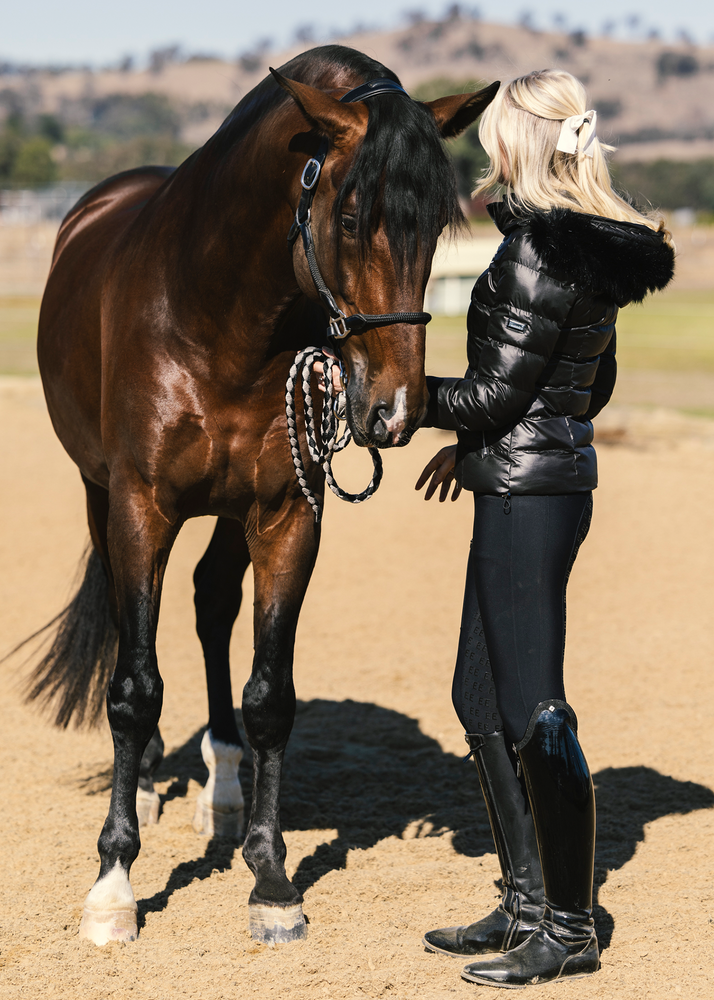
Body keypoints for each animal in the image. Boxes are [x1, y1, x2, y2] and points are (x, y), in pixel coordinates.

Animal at [32, 47, 496, 948]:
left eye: (437, 225)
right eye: (349, 218)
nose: (395, 410)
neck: (215, 318)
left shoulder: (286, 515)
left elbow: (270, 694)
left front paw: (271, 878)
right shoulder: (140, 506)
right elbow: (135, 689)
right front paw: (113, 885)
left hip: (227, 513)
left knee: (213, 603)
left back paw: (221, 782)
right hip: (100, 495)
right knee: (132, 632)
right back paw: (148, 785)